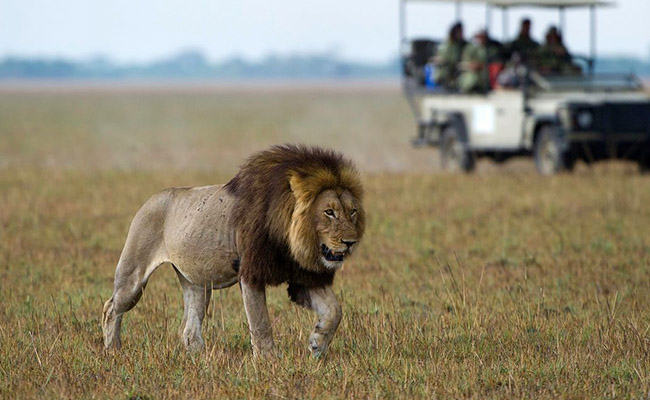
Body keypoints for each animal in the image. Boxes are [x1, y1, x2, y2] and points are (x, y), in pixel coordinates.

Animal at [101, 145, 364, 356]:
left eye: (352, 211)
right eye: (329, 212)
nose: (350, 242)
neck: (291, 241)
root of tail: (151, 199)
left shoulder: (303, 276)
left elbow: (335, 310)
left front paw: (317, 344)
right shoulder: (250, 273)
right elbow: (260, 324)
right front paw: (269, 362)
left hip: (197, 283)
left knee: (188, 328)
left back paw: (202, 359)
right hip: (133, 277)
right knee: (111, 308)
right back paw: (113, 350)